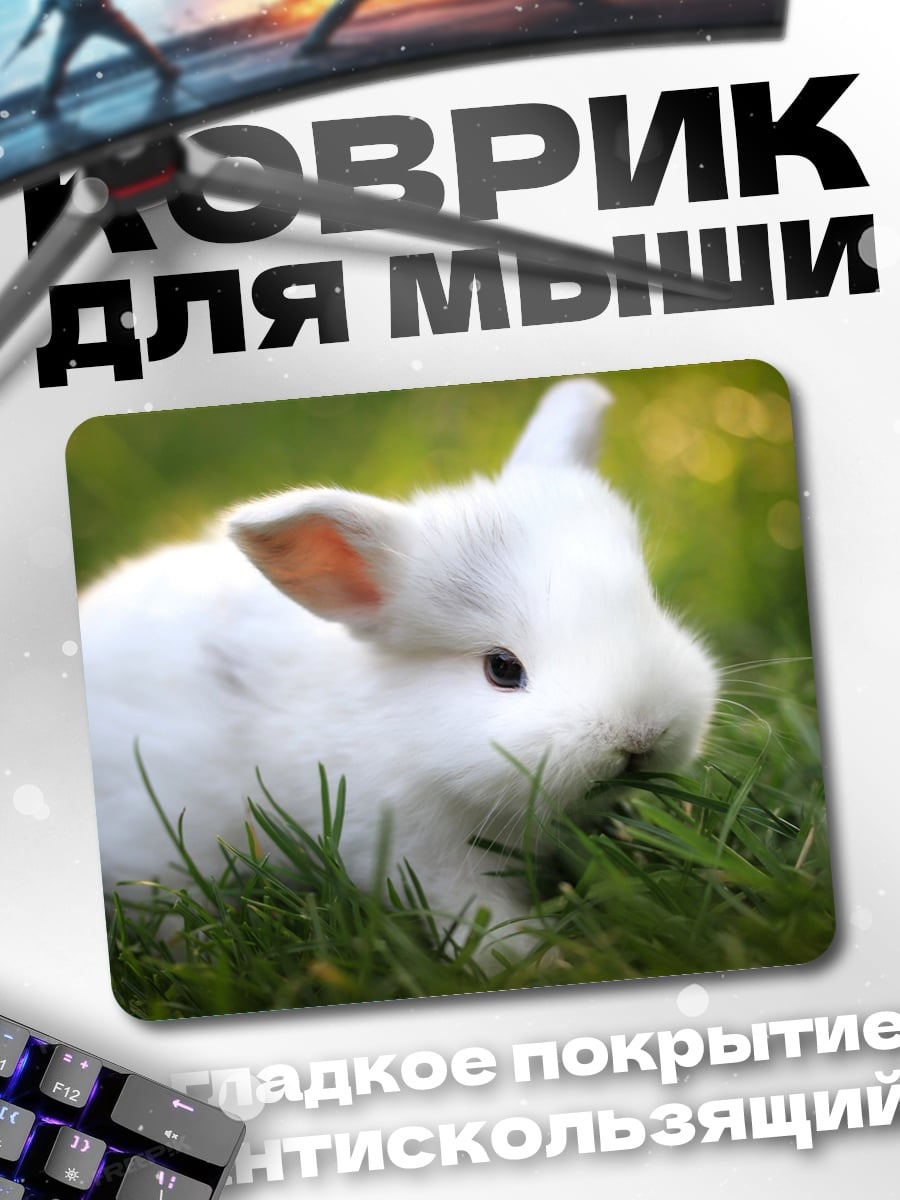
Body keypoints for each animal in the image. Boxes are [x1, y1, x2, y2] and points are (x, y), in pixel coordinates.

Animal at [79, 377, 718, 963]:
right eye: (502, 669)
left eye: (649, 604)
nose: (641, 735)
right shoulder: (422, 857)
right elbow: (481, 921)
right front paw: (538, 963)